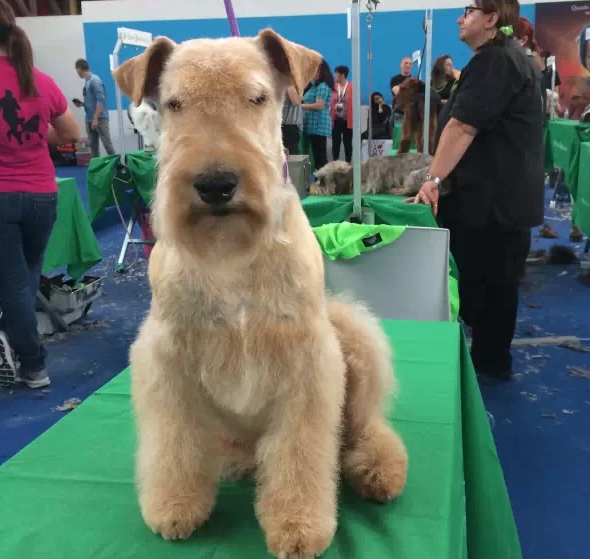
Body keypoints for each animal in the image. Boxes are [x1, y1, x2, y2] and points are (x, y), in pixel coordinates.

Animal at [113, 29, 408, 558]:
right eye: (173, 103)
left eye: (257, 97)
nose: (215, 185)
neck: (231, 255)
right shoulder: (169, 357)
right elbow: (175, 441)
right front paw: (175, 505)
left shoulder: (307, 362)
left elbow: (299, 454)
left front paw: (298, 526)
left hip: (351, 336)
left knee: (361, 426)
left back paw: (378, 469)